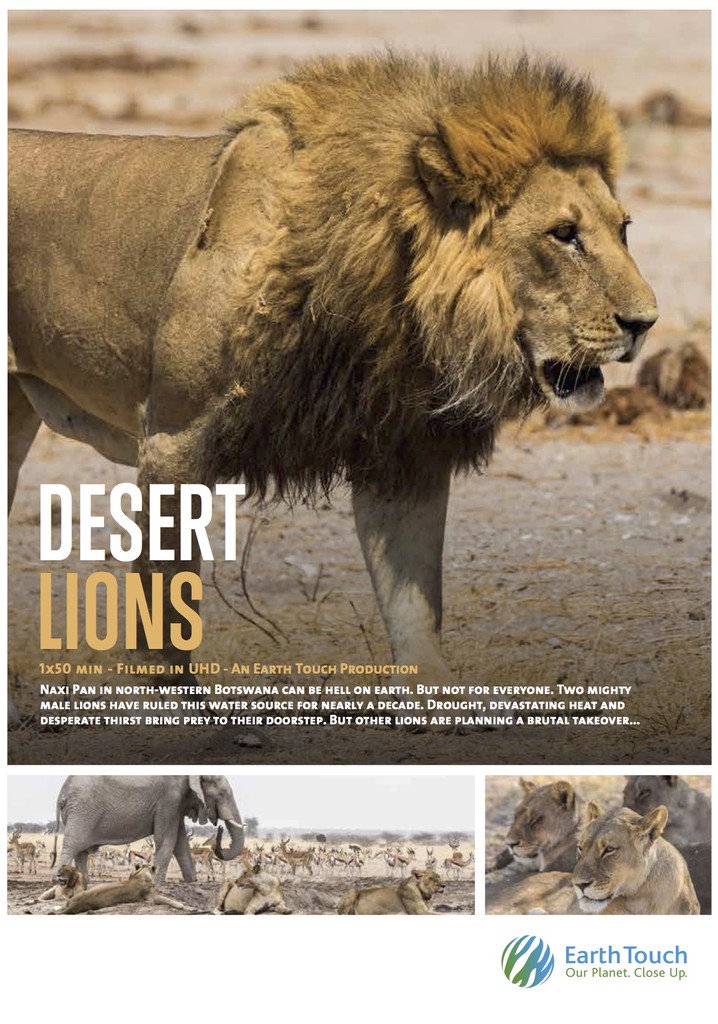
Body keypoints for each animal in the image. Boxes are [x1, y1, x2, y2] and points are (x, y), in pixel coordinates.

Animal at [8, 55, 657, 697]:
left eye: (623, 228)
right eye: (564, 234)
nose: (645, 323)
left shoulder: (402, 452)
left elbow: (414, 608)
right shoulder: (173, 440)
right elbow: (163, 607)